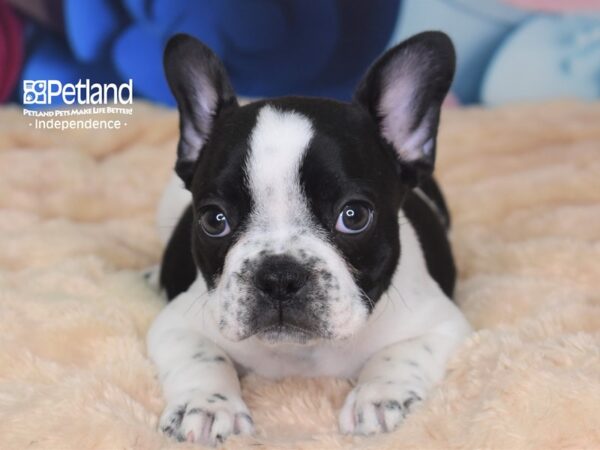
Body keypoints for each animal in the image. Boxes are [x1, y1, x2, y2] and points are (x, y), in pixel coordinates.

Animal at [148, 32, 472, 446]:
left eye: (354, 216)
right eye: (213, 220)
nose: (279, 276)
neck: (301, 355)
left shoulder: (441, 323)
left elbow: (400, 354)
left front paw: (379, 396)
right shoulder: (176, 324)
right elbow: (202, 356)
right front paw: (206, 405)